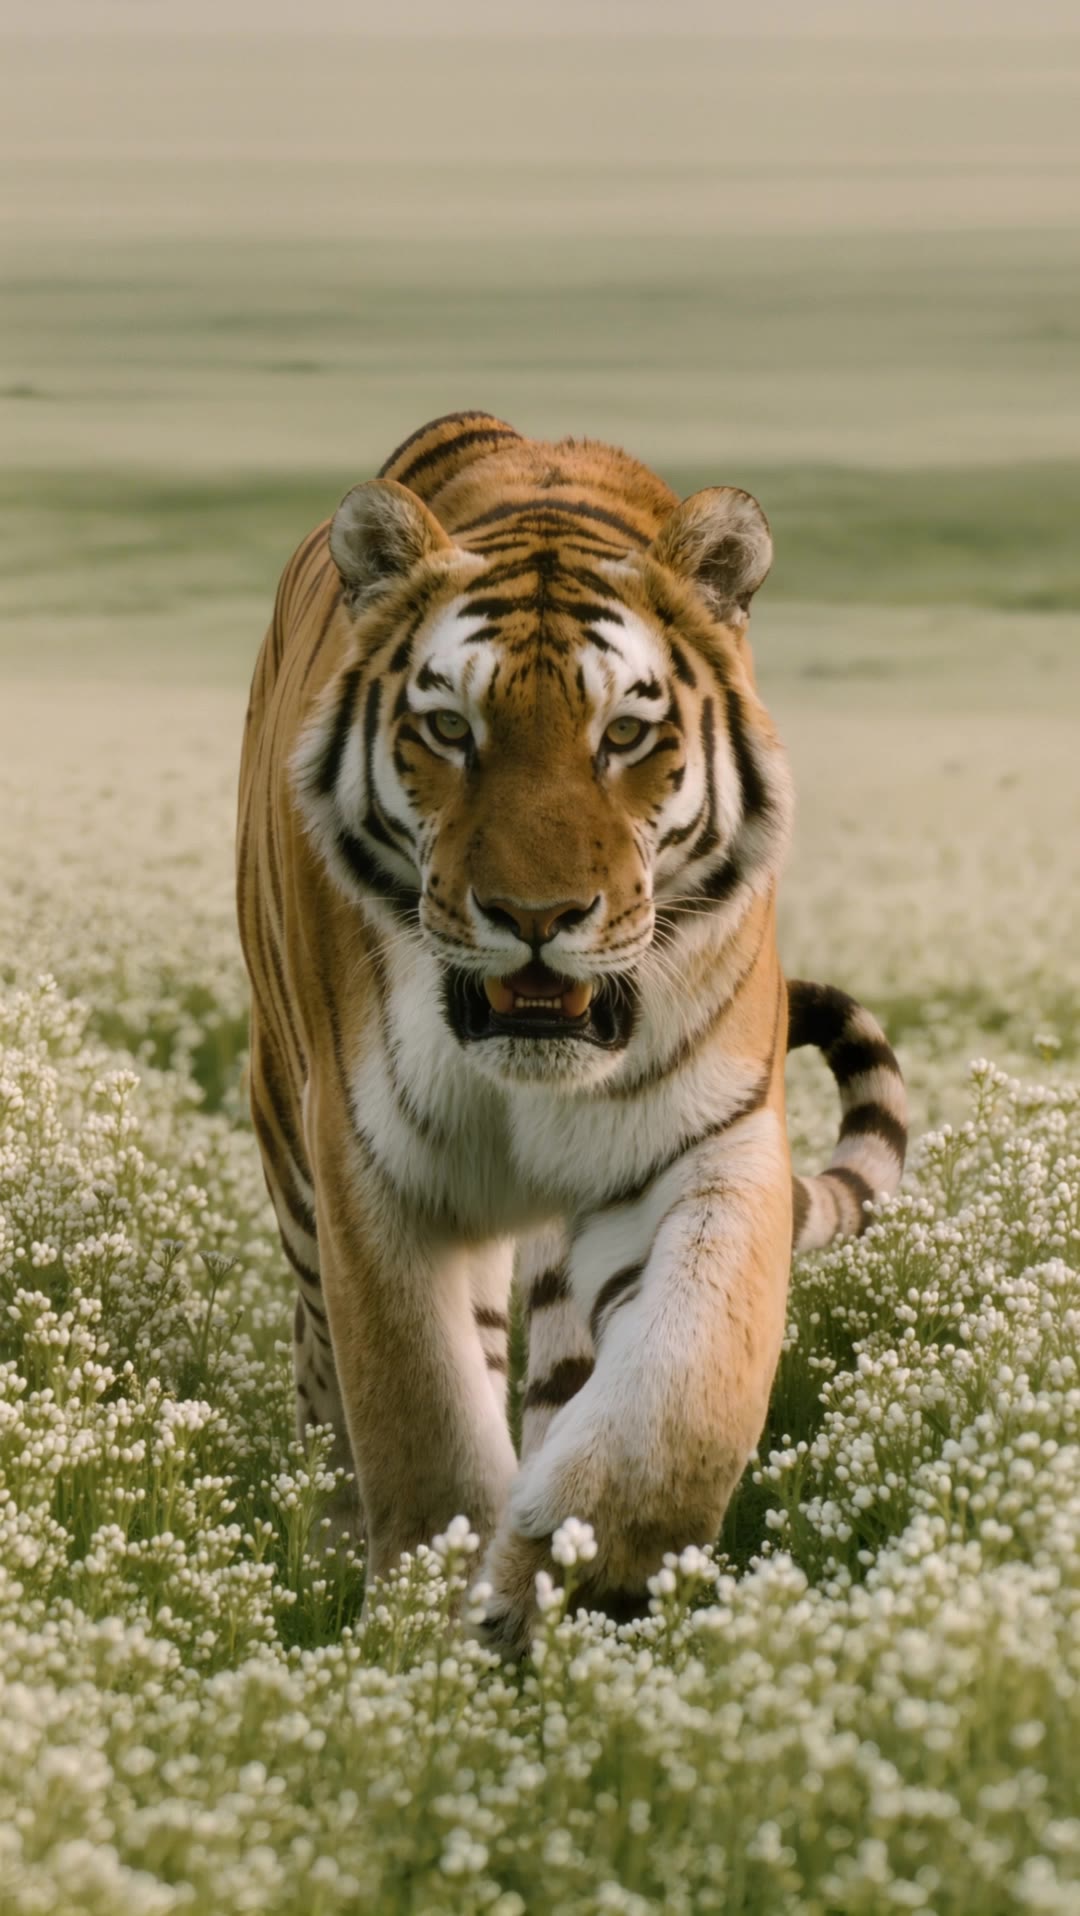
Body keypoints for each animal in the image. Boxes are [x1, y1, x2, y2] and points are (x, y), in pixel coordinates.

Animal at [236, 410, 907, 1654]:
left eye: (627, 732)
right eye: (449, 728)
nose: (539, 917)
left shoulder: (709, 1140)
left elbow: (683, 1407)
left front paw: (562, 1578)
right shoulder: (371, 1167)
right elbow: (421, 1429)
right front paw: (429, 1626)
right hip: (288, 1138)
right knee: (324, 1381)